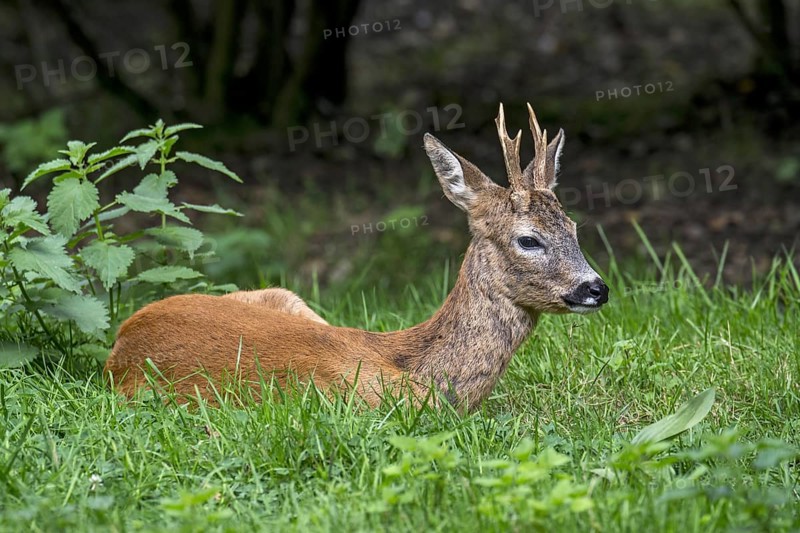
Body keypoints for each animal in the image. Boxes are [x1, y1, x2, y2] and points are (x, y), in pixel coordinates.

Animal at [104, 103, 609, 412]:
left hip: (285, 296)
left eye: (573, 228)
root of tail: (122, 338)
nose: (596, 288)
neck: (422, 375)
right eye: (529, 240)